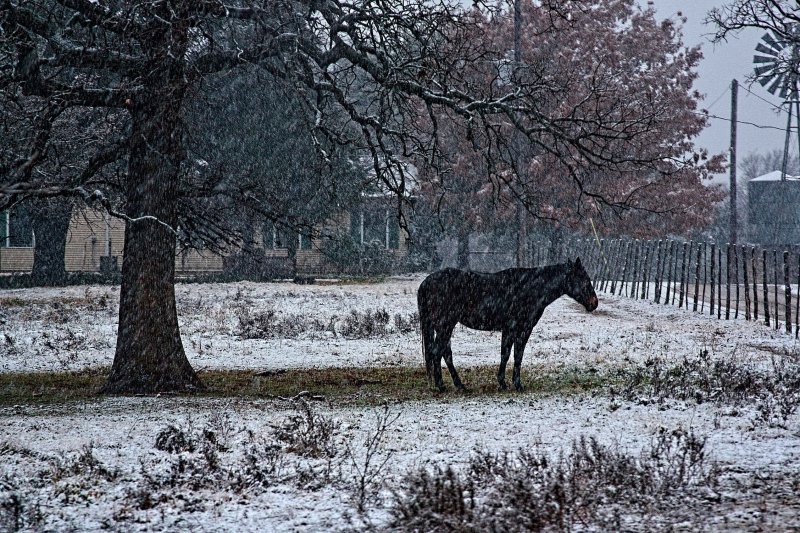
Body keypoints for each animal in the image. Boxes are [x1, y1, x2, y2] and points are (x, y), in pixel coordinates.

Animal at [422, 258, 596, 390]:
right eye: (584, 279)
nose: (594, 303)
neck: (529, 288)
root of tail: (427, 282)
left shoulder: (512, 330)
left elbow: (510, 355)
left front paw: (506, 383)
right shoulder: (519, 329)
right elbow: (512, 355)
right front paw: (513, 384)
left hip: (444, 327)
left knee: (445, 353)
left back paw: (459, 385)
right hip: (445, 326)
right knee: (438, 352)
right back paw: (441, 386)